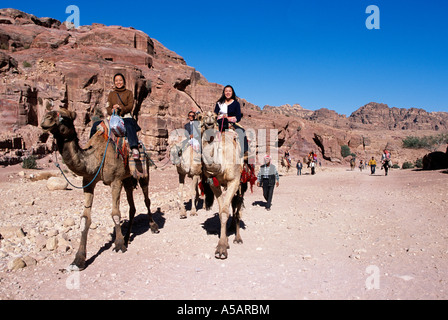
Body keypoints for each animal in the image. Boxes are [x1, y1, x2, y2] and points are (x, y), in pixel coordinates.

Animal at [39, 108, 159, 270]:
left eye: (64, 117)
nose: (45, 119)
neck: (95, 157)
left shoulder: (115, 180)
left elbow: (115, 213)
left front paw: (119, 245)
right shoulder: (88, 182)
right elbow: (85, 219)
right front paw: (78, 260)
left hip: (143, 171)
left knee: (147, 199)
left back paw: (153, 226)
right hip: (127, 178)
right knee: (132, 206)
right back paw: (127, 237)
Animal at [200, 111, 245, 258]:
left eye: (215, 117)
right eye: (200, 116)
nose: (208, 118)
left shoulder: (234, 181)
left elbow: (225, 212)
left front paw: (221, 249)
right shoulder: (214, 184)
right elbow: (221, 212)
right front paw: (224, 243)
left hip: (241, 184)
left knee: (238, 208)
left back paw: (238, 238)